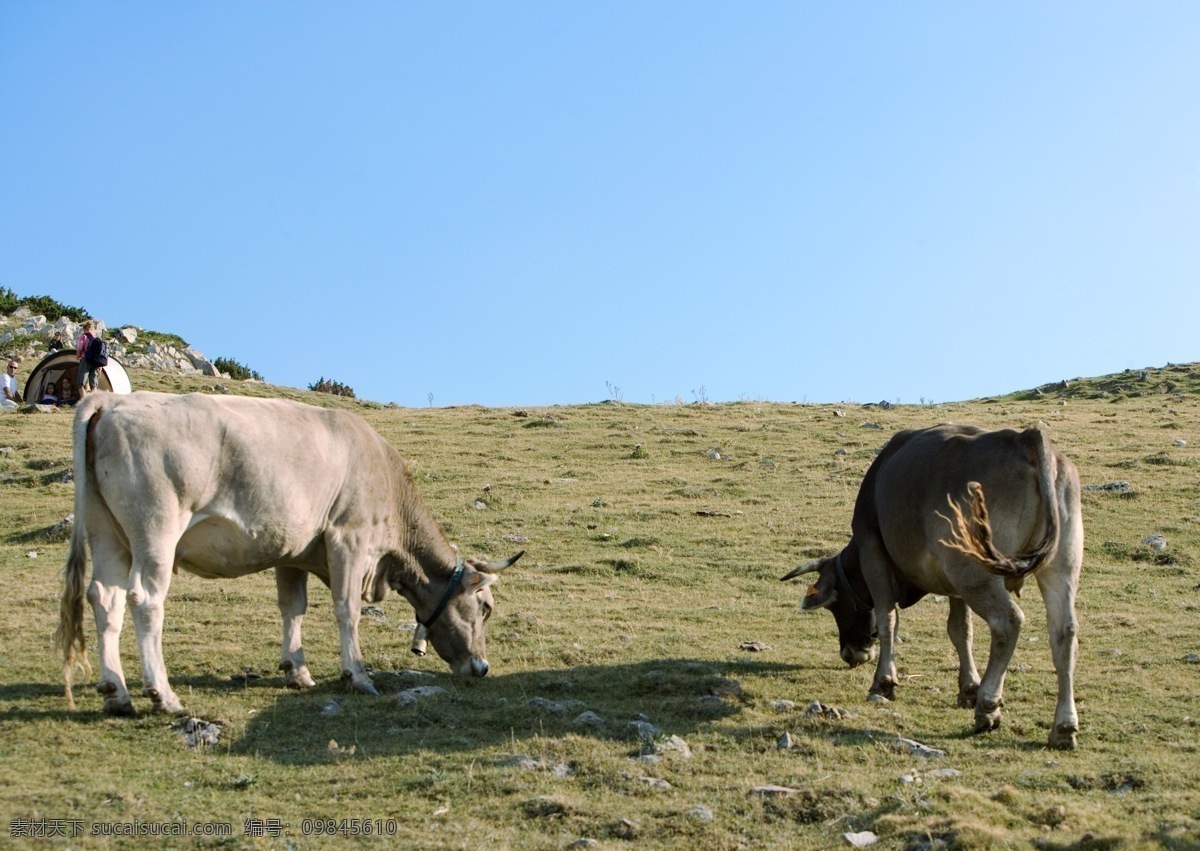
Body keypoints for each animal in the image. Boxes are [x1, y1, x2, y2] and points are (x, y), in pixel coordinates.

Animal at [56, 388, 523, 710]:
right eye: (485, 607)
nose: (482, 668)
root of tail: (112, 400)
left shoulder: (292, 551)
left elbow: (292, 608)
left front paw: (297, 671)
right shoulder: (348, 538)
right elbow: (346, 609)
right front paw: (357, 675)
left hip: (107, 534)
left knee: (105, 597)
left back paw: (116, 693)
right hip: (155, 528)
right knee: (144, 599)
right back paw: (162, 694)